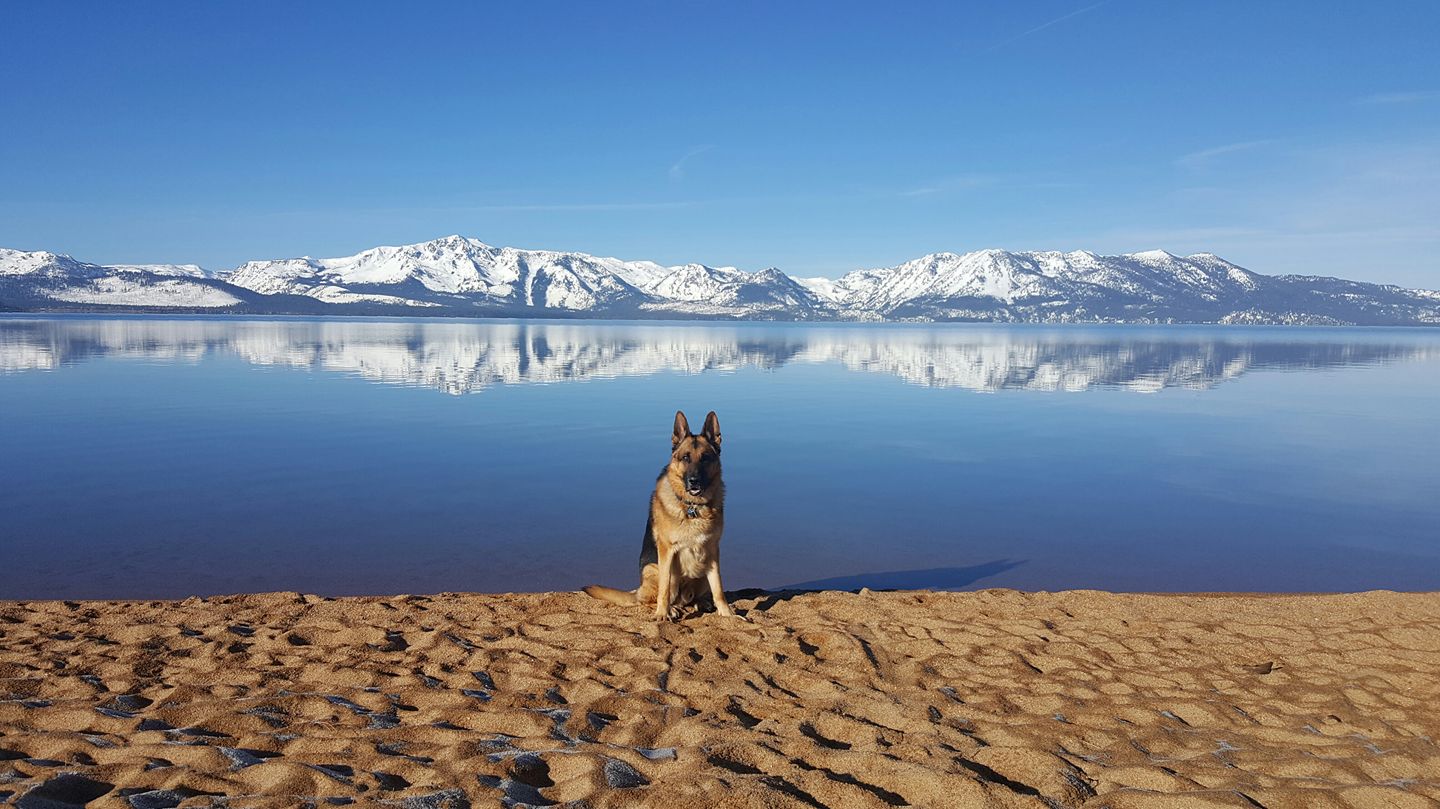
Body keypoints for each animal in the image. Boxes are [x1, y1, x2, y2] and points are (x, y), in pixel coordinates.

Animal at [581, 405, 748, 618]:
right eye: (685, 458)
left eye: (705, 458)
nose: (694, 481)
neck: (692, 507)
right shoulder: (667, 551)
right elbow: (664, 589)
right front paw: (662, 614)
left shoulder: (712, 551)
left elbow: (718, 587)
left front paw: (727, 614)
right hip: (657, 570)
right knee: (649, 599)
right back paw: (670, 608)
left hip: (701, 571)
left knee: (693, 597)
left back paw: (700, 603)